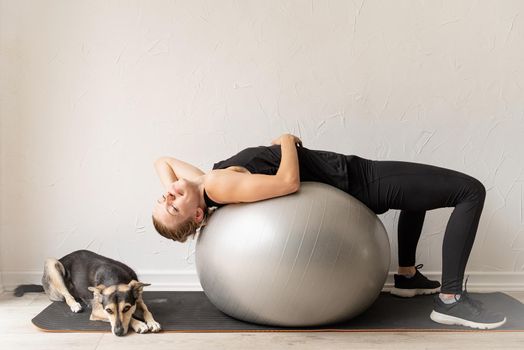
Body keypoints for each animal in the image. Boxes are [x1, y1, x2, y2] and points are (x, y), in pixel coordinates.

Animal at [14, 249, 162, 336]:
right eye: (108, 310)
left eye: (126, 308)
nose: (118, 333)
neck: (114, 278)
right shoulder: (98, 311)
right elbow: (131, 318)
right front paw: (139, 324)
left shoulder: (138, 299)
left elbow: (146, 310)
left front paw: (152, 322)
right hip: (52, 264)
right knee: (67, 296)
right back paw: (75, 304)